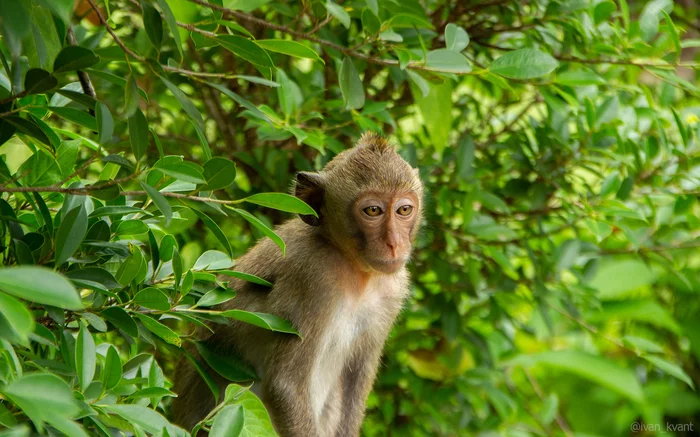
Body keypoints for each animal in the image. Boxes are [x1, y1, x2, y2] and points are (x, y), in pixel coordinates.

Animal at [174, 131, 426, 434]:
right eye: (373, 210)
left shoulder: (392, 290)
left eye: (404, 210)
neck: (352, 266)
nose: (394, 244)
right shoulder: (311, 275)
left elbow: (355, 382)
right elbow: (288, 387)